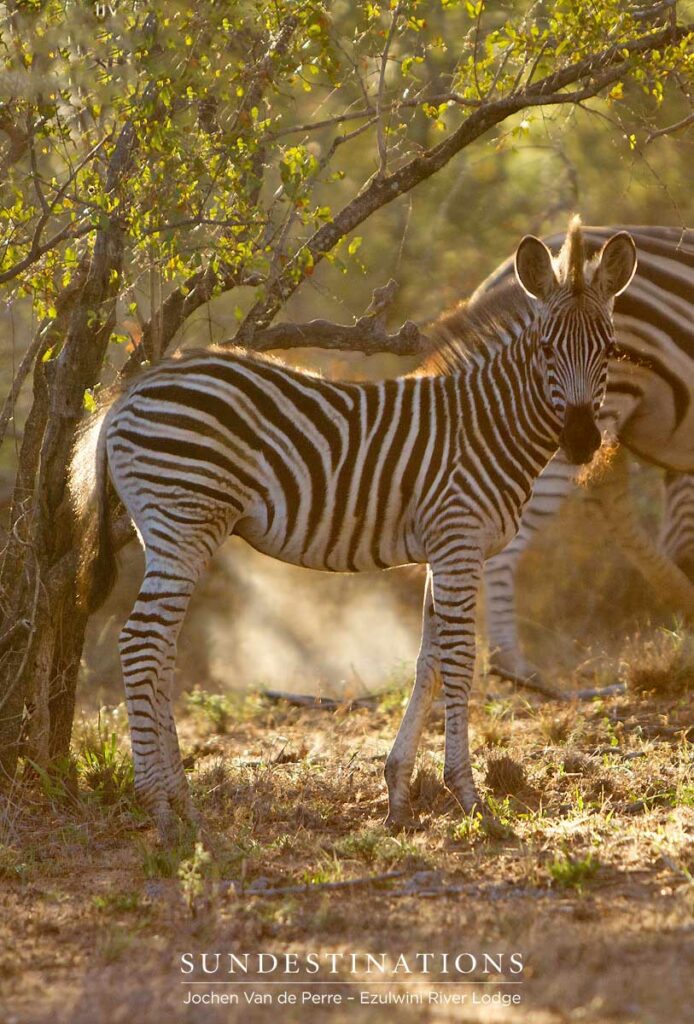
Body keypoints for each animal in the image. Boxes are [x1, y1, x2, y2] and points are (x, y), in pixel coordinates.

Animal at [69, 218, 636, 839]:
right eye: (545, 349)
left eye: (610, 350)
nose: (581, 443)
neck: (487, 424)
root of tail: (129, 392)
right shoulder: (459, 541)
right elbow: (460, 662)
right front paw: (470, 799)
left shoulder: (443, 551)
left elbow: (427, 662)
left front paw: (398, 796)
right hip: (184, 522)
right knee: (141, 644)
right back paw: (160, 809)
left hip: (172, 532)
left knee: (161, 651)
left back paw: (184, 805)